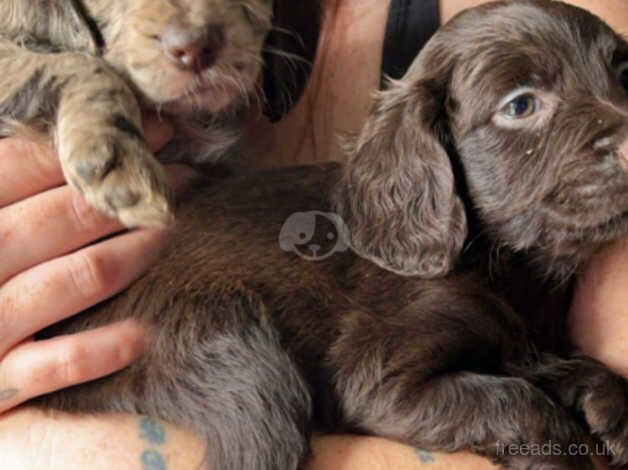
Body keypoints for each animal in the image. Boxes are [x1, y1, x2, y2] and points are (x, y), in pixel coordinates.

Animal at [33, 0, 628, 470]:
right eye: (521, 104)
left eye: (624, 75)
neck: (506, 268)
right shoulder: (377, 378)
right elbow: (513, 401)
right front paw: (562, 451)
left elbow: (549, 366)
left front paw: (608, 406)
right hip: (236, 353)